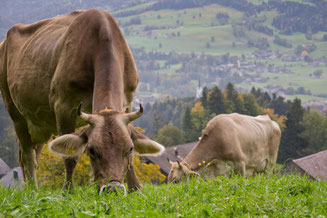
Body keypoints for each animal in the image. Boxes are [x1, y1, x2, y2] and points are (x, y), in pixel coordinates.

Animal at [0, 9, 164, 194]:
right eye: (91, 150)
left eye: (129, 148)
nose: (112, 189)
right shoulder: (63, 107)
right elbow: (70, 155)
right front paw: (68, 190)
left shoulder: (128, 102)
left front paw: (135, 187)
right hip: (15, 111)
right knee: (28, 154)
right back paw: (33, 190)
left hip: (40, 123)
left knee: (34, 153)